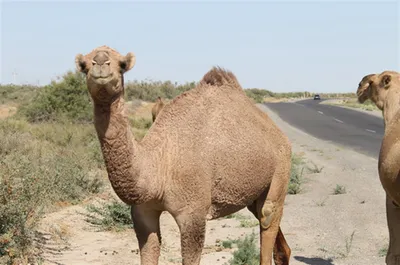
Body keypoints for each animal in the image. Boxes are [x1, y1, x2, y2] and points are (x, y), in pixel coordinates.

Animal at [75, 44, 292, 262]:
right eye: (83, 65)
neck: (160, 165)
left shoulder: (193, 214)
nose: (100, 62)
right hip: (253, 192)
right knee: (277, 239)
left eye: (122, 64)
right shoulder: (142, 212)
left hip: (281, 167)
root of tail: (279, 134)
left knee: (267, 216)